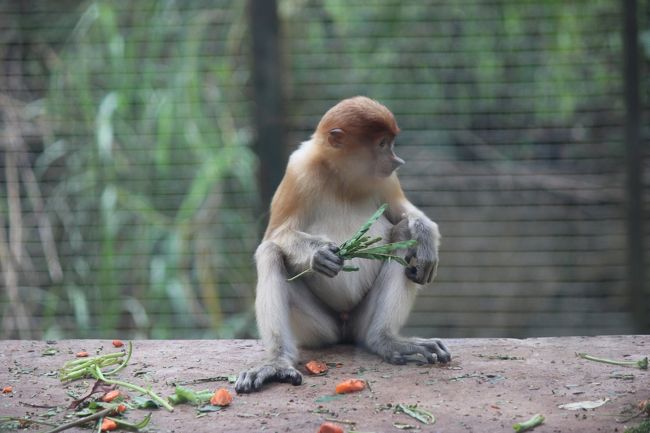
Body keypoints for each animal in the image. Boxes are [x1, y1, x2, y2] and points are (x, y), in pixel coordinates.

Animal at [234, 96, 450, 394]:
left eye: (390, 143)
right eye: (382, 144)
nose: (397, 161)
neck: (341, 179)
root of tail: (346, 327)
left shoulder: (386, 179)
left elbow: (403, 213)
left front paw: (426, 235)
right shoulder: (298, 171)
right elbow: (274, 235)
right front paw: (320, 254)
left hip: (358, 321)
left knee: (403, 233)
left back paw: (386, 340)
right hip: (318, 328)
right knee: (270, 253)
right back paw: (276, 363)